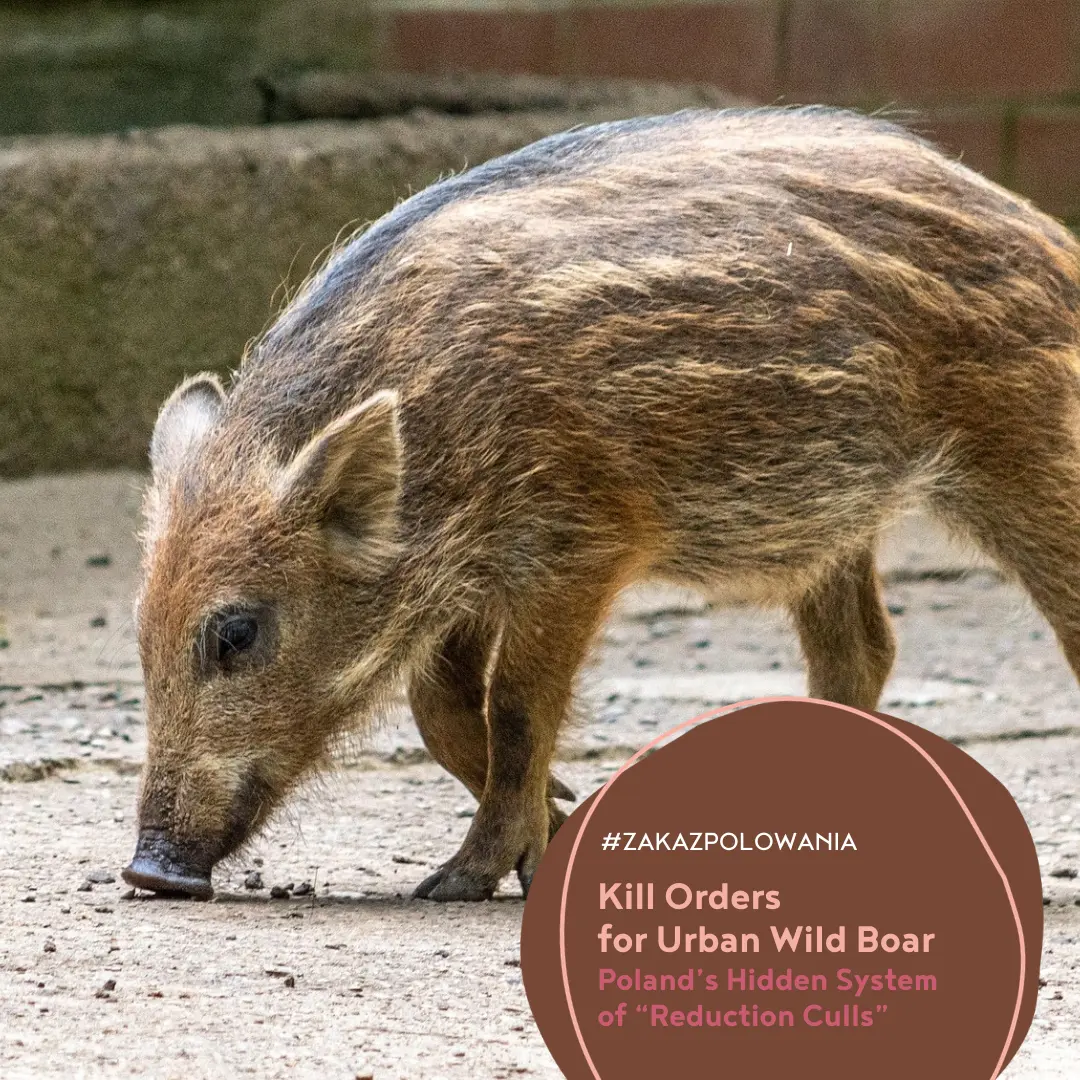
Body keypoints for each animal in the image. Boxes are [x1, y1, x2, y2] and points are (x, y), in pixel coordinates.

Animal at [123, 106, 1080, 902]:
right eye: (139, 637)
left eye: (236, 632)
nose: (150, 872)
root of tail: (1048, 234)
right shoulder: (465, 580)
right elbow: (442, 710)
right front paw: (558, 817)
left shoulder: (577, 544)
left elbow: (515, 705)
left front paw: (463, 880)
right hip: (829, 521)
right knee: (862, 653)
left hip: (1027, 451)